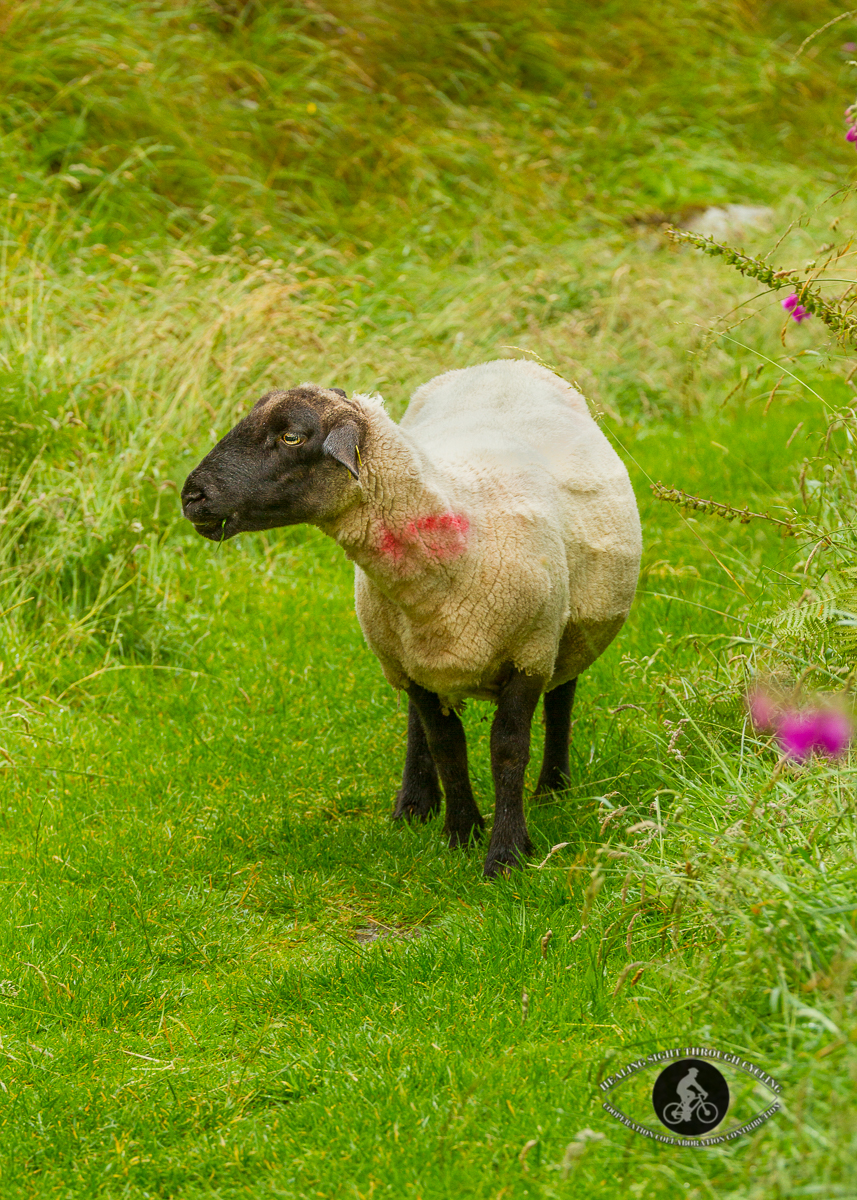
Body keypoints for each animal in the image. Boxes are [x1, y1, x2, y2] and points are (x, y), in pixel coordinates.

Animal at [183, 355, 643, 873]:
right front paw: (461, 832)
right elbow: (446, 745)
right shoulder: (411, 664)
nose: (192, 496)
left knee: (562, 695)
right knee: (417, 725)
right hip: (405, 649)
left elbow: (508, 750)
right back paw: (415, 804)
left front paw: (506, 853)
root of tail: (504, 360)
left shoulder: (529, 653)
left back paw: (553, 788)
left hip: (571, 624)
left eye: (292, 436)